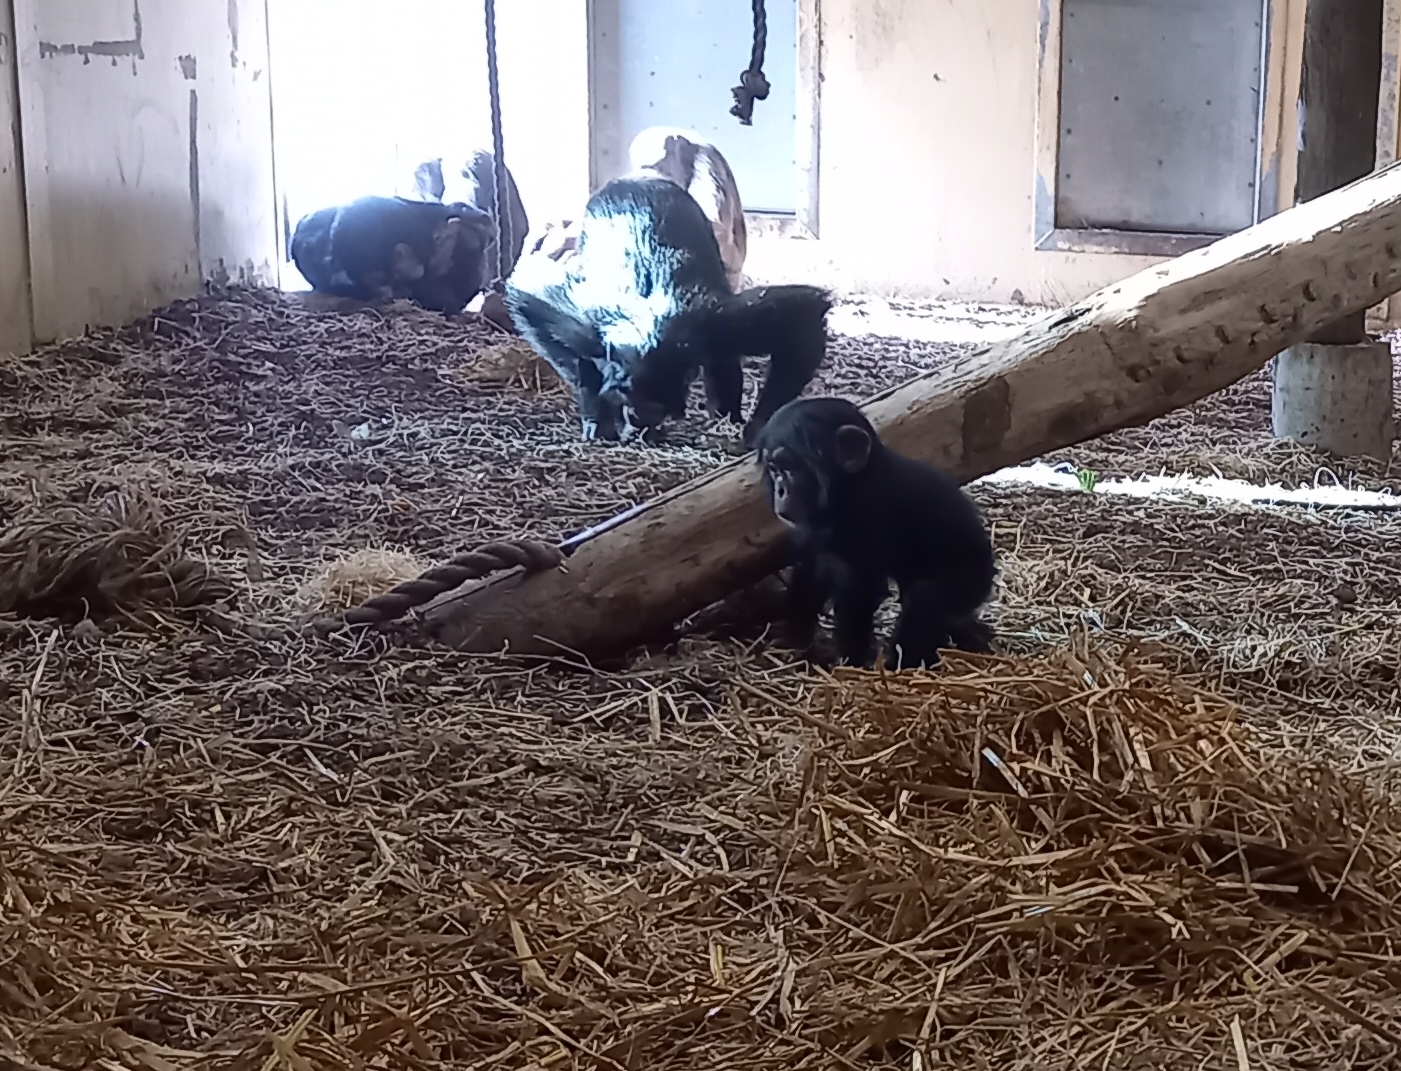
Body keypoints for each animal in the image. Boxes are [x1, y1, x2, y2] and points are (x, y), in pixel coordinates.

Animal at [755, 396, 996, 669]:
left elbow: (861, 589)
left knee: (924, 601)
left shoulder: (871, 514)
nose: (780, 489)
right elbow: (812, 571)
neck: (848, 486)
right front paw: (793, 639)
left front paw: (851, 662)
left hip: (972, 578)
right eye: (774, 468)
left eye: (791, 467)